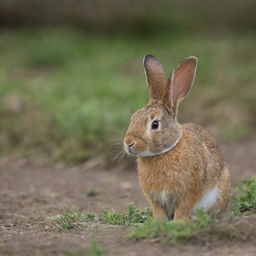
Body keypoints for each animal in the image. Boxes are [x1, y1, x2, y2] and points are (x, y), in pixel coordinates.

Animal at [123, 54, 231, 220]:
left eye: (155, 124)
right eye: (133, 118)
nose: (129, 142)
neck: (165, 151)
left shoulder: (190, 192)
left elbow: (183, 208)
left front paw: (178, 222)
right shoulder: (154, 198)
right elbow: (158, 210)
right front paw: (158, 222)